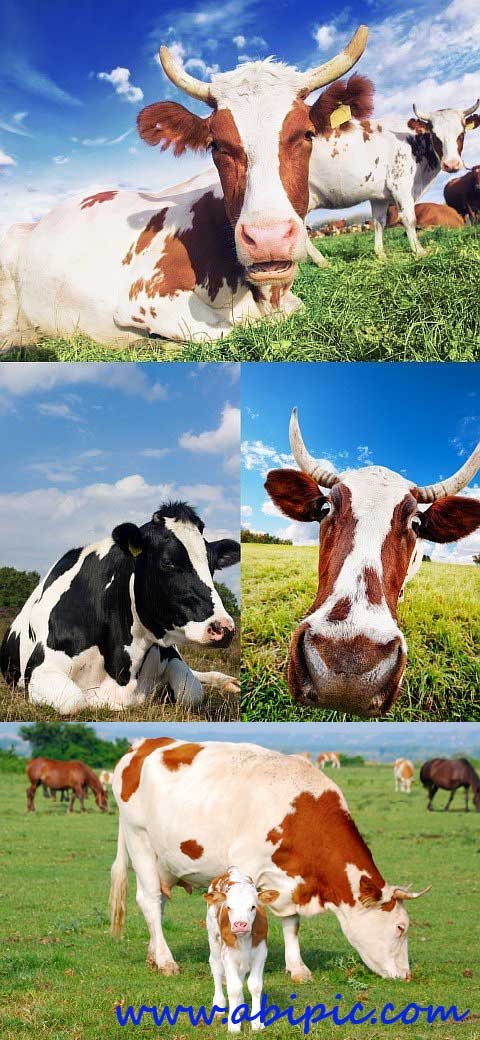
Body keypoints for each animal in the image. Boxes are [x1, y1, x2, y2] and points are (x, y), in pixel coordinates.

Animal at [1, 502, 240, 714]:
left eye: (212, 566)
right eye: (167, 562)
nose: (224, 628)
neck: (123, 670)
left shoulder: (171, 657)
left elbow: (191, 692)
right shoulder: (41, 668)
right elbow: (73, 701)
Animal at [109, 738, 430, 982]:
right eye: (401, 927)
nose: (406, 975)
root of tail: (142, 745)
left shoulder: (291, 879)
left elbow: (291, 923)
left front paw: (298, 968)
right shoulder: (244, 865)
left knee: (159, 903)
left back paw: (153, 955)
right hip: (139, 839)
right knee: (150, 901)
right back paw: (166, 961)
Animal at [204, 867, 278, 1031]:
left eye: (253, 906)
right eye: (229, 907)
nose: (240, 925)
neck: (243, 939)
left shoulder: (261, 952)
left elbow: (255, 985)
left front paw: (257, 1022)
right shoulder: (227, 954)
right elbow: (233, 987)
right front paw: (234, 1025)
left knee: (242, 972)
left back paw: (241, 1005)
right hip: (213, 936)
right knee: (216, 966)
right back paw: (219, 1004)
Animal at [305, 76, 479, 264]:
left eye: (461, 134)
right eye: (435, 135)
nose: (452, 164)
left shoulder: (379, 196)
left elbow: (379, 222)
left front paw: (380, 253)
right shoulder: (400, 185)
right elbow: (409, 218)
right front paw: (419, 251)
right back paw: (320, 260)